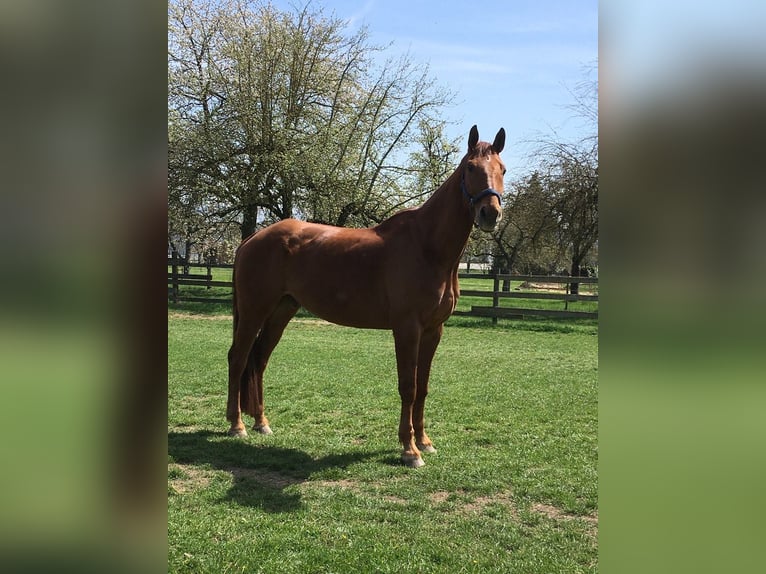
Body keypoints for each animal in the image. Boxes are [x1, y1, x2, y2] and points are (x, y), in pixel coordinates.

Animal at [225, 125, 508, 468]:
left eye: (502, 170)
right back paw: (237, 425)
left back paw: (261, 422)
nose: (490, 213)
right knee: (238, 358)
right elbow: (408, 386)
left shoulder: (433, 330)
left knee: (259, 360)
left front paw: (424, 442)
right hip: (254, 310)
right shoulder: (407, 329)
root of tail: (252, 239)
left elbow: (423, 387)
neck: (428, 247)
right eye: (470, 168)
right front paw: (409, 450)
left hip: (281, 310)